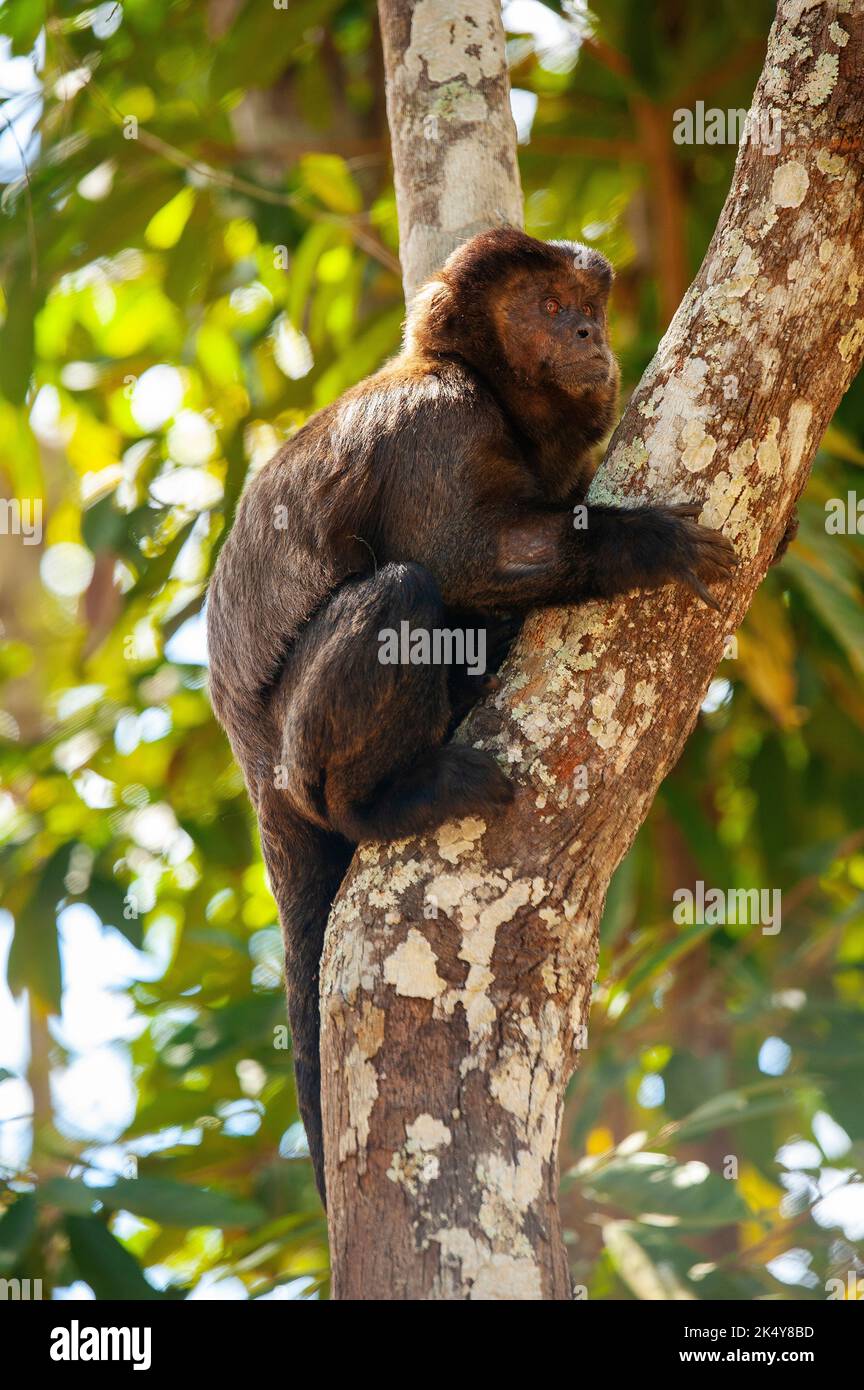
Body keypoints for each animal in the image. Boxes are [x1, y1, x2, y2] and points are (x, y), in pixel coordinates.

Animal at [206, 230, 738, 1206]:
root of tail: (256, 773)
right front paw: (640, 544)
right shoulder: (442, 422)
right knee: (405, 593)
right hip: (301, 751)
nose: (584, 333)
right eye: (544, 307)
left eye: (585, 308)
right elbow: (463, 558)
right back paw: (378, 802)